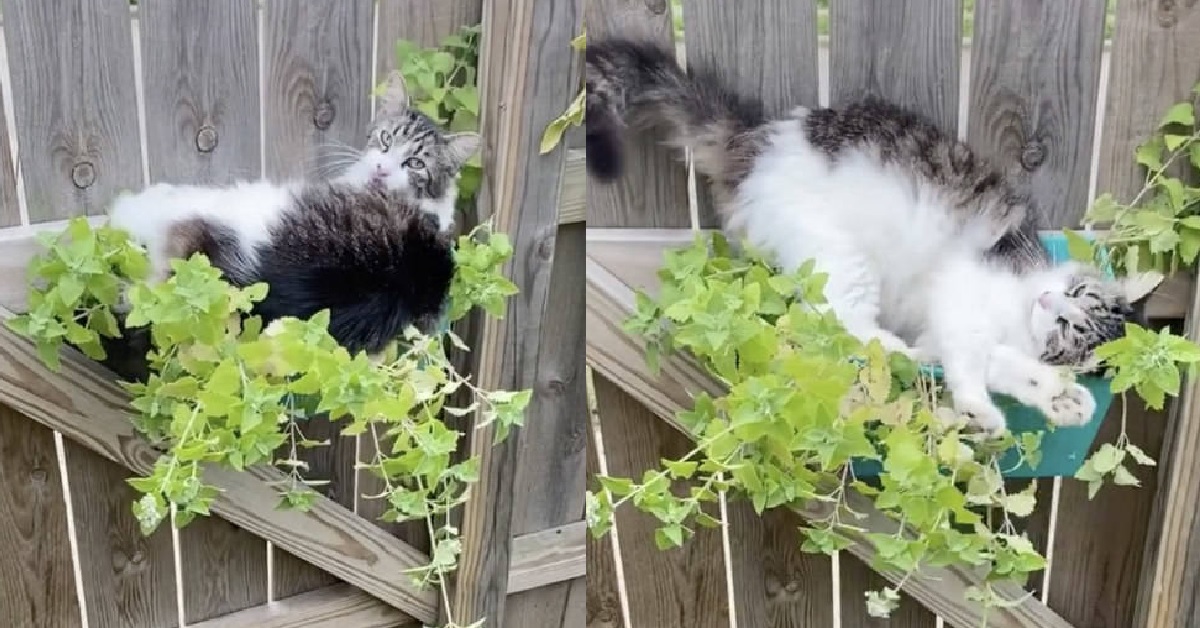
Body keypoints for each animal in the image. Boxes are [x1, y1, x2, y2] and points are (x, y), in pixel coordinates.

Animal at [585, 36, 1156, 434]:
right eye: (1074, 296)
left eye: (1071, 327)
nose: (1047, 301)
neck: (1018, 316)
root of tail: (756, 139)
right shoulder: (962, 300)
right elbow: (972, 366)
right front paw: (980, 410)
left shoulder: (961, 331)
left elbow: (1010, 368)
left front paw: (1060, 396)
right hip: (843, 257)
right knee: (840, 325)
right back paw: (894, 347)